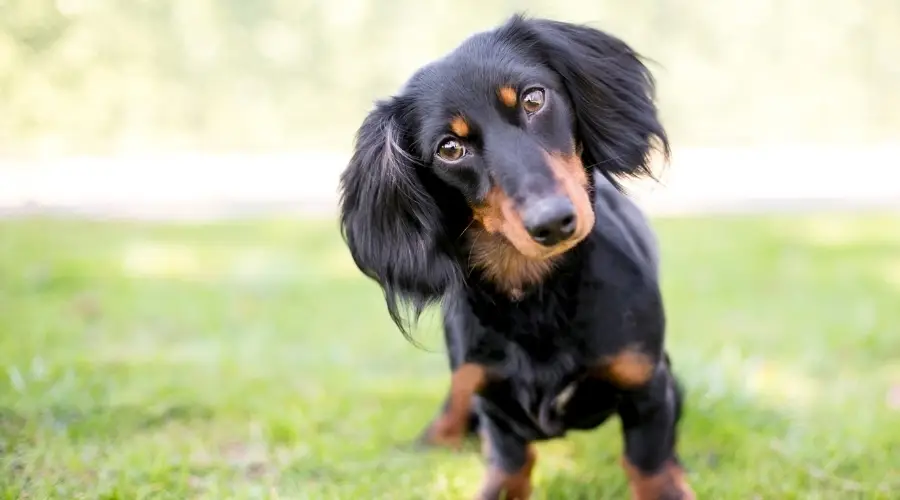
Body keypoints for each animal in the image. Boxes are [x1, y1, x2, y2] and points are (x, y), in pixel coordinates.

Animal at [338, 13, 696, 498]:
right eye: (450, 148)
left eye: (533, 98)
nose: (553, 222)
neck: (537, 298)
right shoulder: (493, 402)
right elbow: (508, 462)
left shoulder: (647, 383)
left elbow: (648, 461)